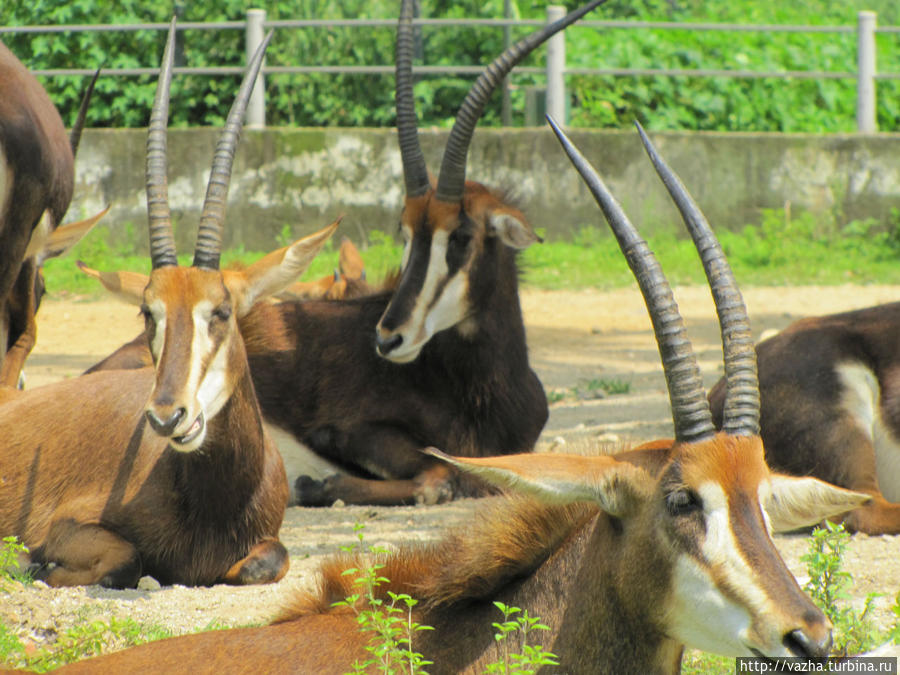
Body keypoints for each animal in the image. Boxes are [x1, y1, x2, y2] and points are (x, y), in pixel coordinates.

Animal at [81, 0, 608, 508]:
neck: (480, 385)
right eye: (405, 233)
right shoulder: (347, 433)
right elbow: (439, 476)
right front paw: (318, 486)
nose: (389, 338)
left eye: (460, 236)